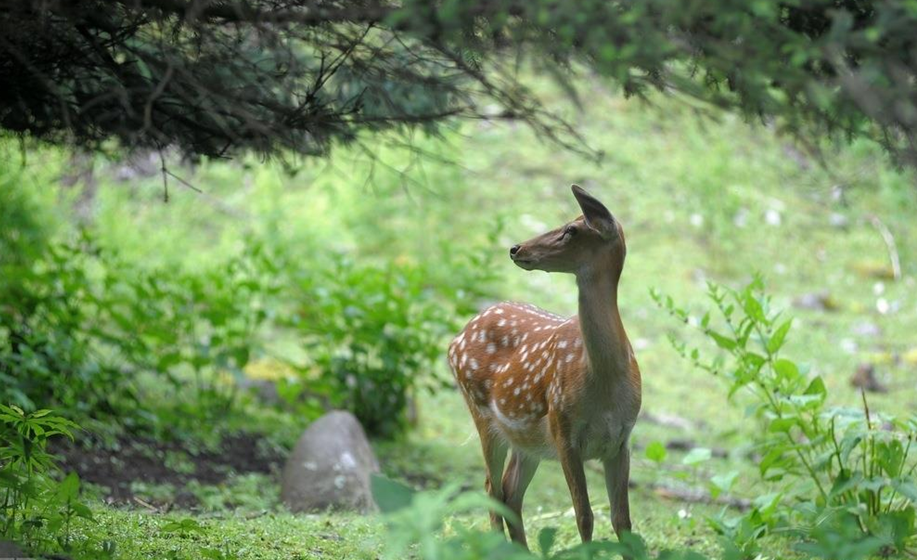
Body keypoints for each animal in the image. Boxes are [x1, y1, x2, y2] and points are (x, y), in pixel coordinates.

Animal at [448, 184, 640, 548]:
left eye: (571, 230)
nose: (516, 247)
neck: (604, 384)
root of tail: (455, 340)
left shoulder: (621, 440)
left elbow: (622, 521)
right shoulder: (564, 431)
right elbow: (584, 517)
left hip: (526, 439)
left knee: (510, 492)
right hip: (483, 415)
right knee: (491, 487)